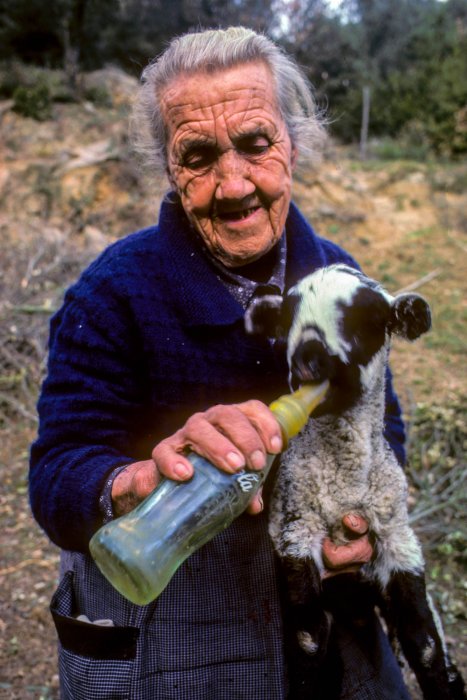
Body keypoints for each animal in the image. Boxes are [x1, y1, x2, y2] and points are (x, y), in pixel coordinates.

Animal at [247, 264, 466, 700]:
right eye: (289, 315)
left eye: (365, 316)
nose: (308, 357)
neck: (347, 485)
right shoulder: (295, 529)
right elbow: (309, 638)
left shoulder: (398, 537)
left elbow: (427, 645)